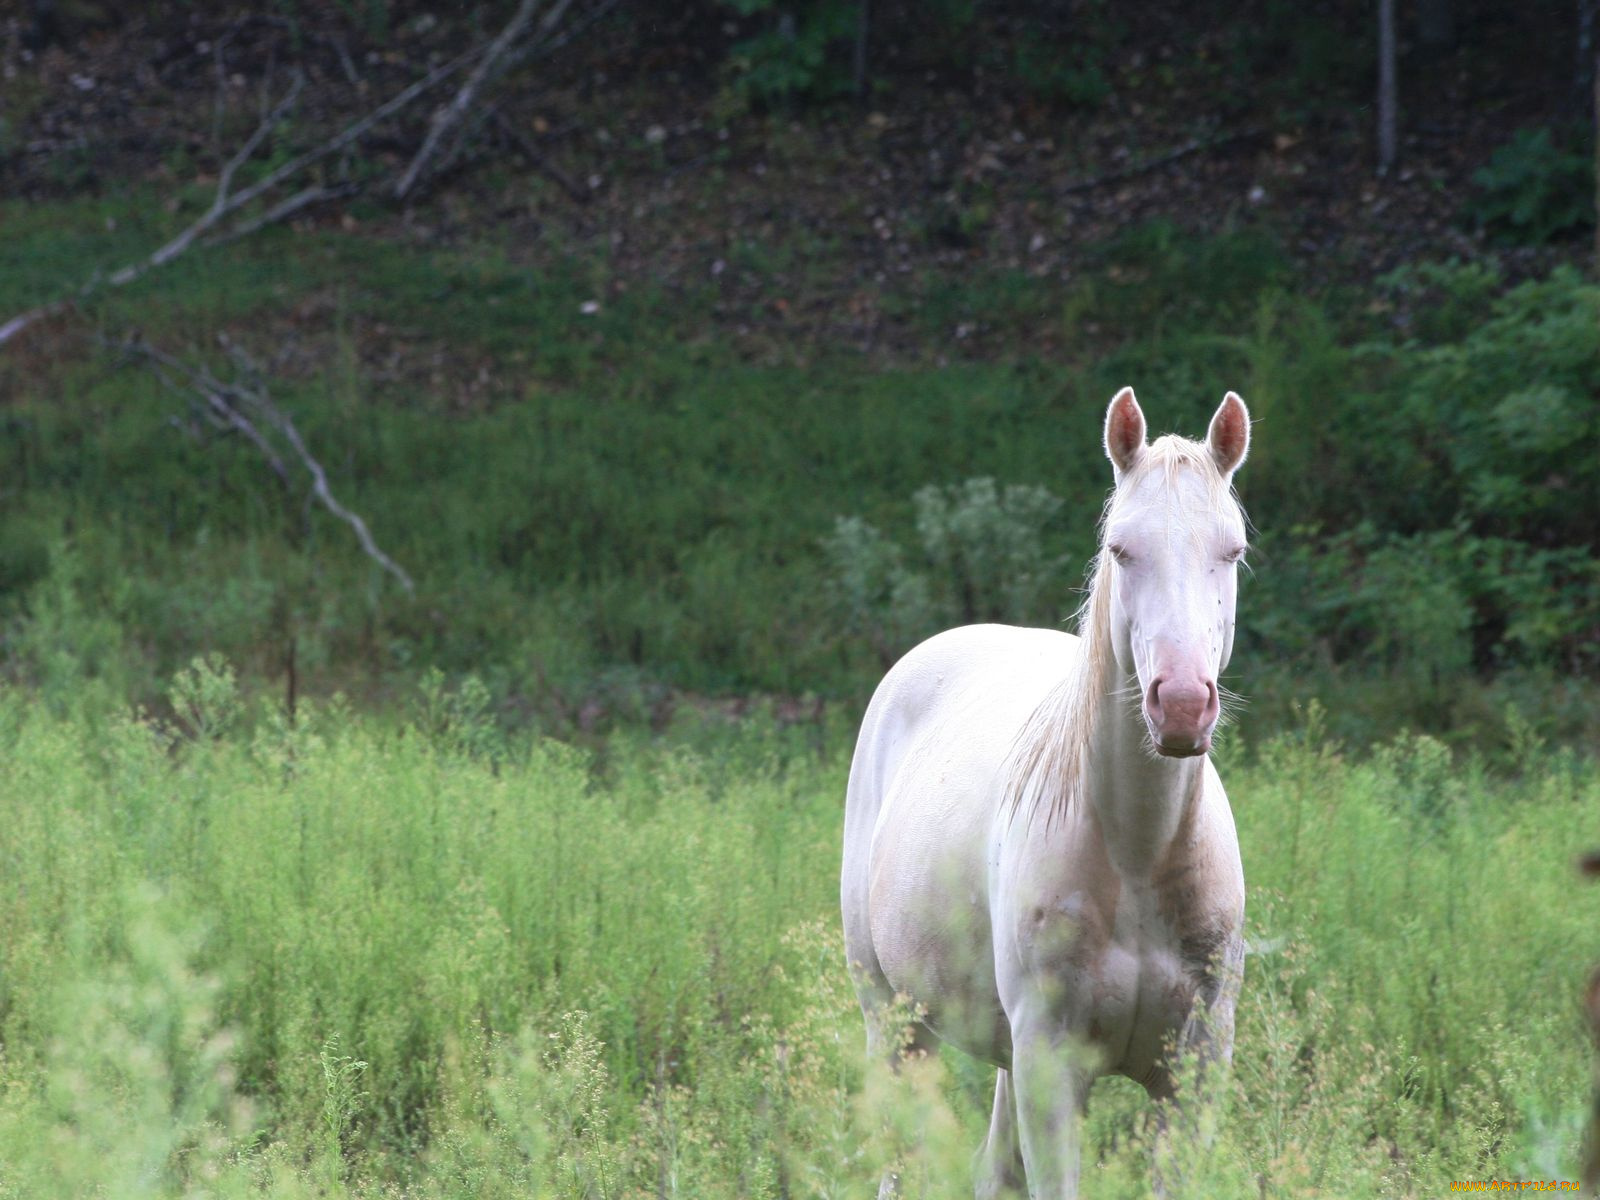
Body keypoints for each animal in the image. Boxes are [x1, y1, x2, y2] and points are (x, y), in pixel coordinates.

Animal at [844, 390, 1254, 1196]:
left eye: (1232, 551)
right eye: (1122, 550)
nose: (1181, 705)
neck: (1138, 859)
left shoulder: (1194, 1073)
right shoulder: (1050, 1067)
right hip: (897, 1026)